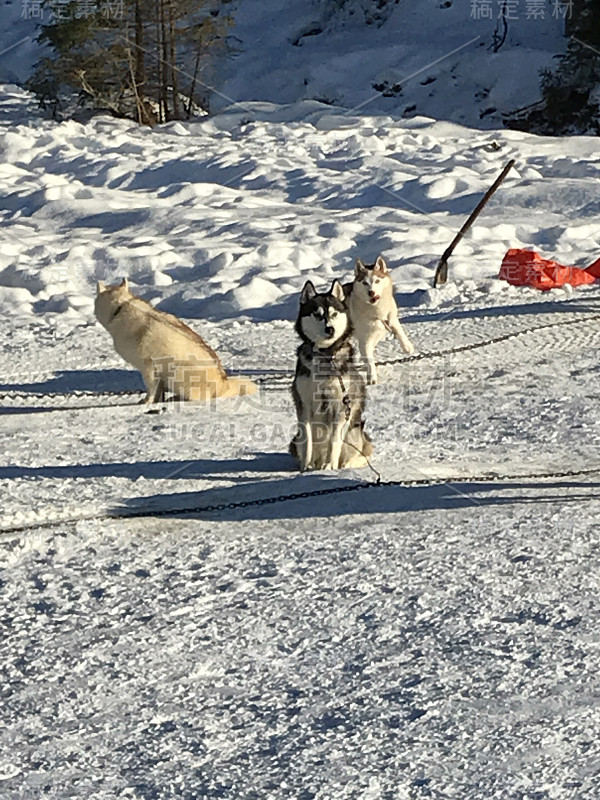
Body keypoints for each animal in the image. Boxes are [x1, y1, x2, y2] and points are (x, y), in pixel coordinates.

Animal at [95, 282, 256, 404]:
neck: (121, 307)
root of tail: (224, 384)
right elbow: (158, 389)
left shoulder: (149, 367)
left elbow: (151, 388)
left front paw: (147, 401)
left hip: (178, 372)